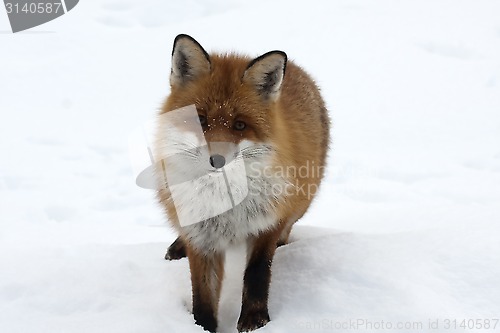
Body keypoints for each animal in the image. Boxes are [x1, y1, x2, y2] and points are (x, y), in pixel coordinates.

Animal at [154, 35, 330, 330]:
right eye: (200, 119)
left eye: (239, 125)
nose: (216, 160)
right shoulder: (202, 238)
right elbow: (202, 294)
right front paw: (202, 327)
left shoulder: (267, 222)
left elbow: (257, 273)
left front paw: (255, 319)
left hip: (302, 202)